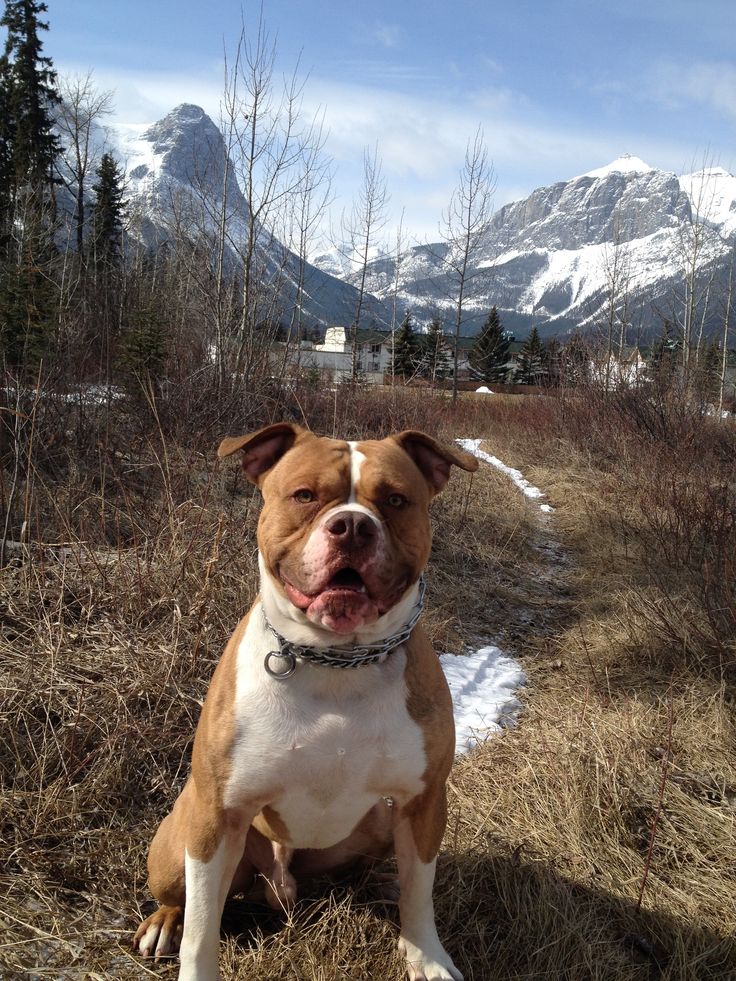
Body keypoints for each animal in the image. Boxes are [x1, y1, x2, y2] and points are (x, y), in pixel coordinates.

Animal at [132, 424, 478, 980]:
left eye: (395, 500)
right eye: (304, 496)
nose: (353, 526)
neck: (336, 662)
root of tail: (281, 888)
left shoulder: (424, 802)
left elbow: (421, 894)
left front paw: (425, 955)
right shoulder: (217, 815)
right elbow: (203, 929)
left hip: (382, 822)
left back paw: (380, 886)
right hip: (180, 835)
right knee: (183, 896)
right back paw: (165, 921)